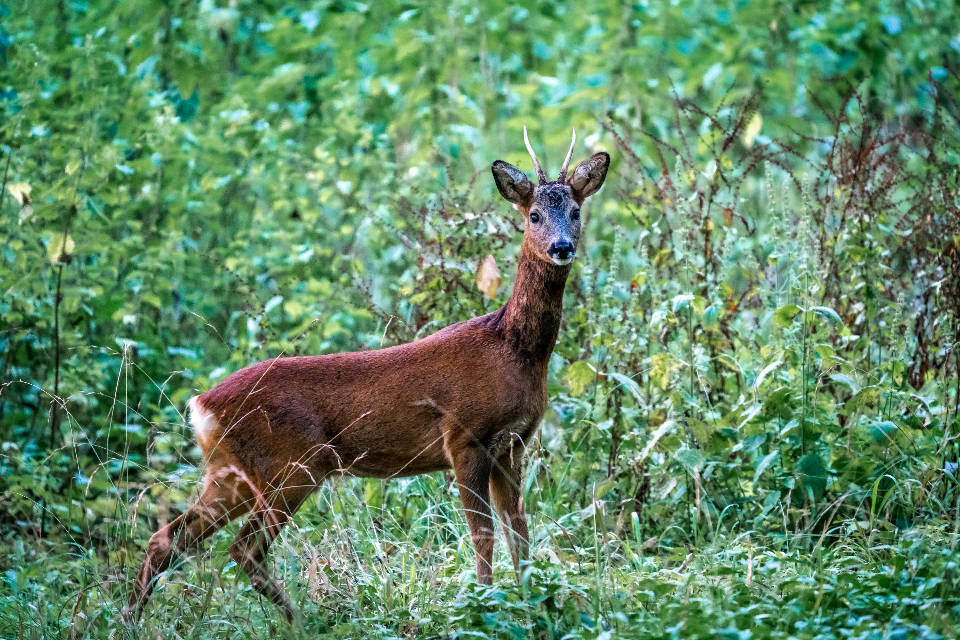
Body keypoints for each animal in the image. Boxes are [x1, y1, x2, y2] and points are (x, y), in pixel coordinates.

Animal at [125, 127, 608, 624]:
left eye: (576, 211)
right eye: (533, 214)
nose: (562, 247)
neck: (512, 349)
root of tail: (200, 405)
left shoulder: (512, 445)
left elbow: (520, 534)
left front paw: (532, 608)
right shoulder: (464, 438)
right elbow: (484, 536)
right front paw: (481, 608)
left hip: (231, 472)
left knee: (167, 539)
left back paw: (130, 618)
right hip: (291, 466)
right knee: (243, 550)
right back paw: (303, 623)